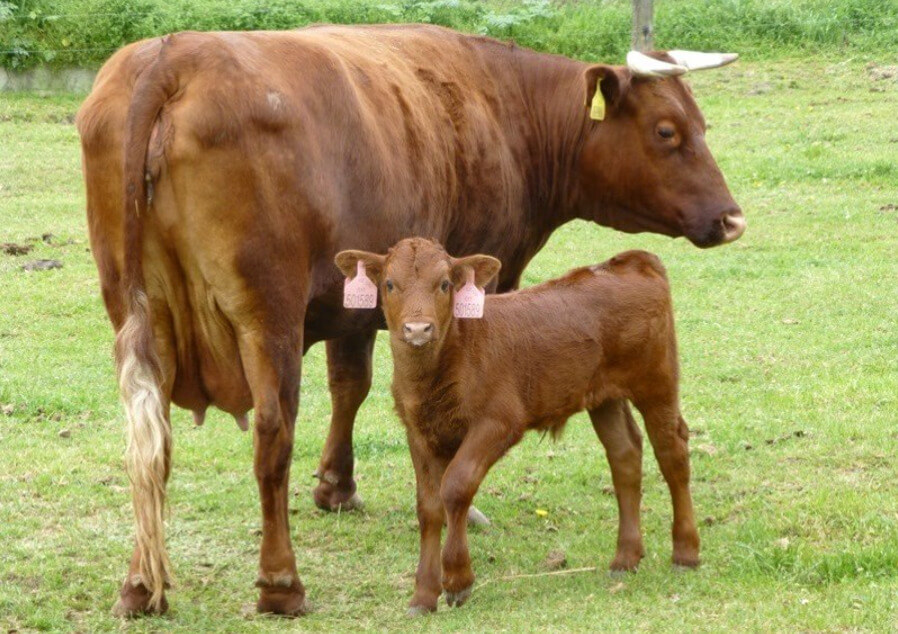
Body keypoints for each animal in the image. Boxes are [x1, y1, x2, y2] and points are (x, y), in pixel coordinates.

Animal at [336, 238, 700, 612]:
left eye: (445, 284)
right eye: (389, 284)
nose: (418, 329)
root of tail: (631, 260)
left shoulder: (498, 421)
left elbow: (456, 486)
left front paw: (458, 580)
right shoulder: (418, 431)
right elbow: (429, 506)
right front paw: (423, 594)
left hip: (657, 381)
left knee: (672, 451)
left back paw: (685, 552)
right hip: (604, 396)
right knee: (625, 453)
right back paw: (626, 557)